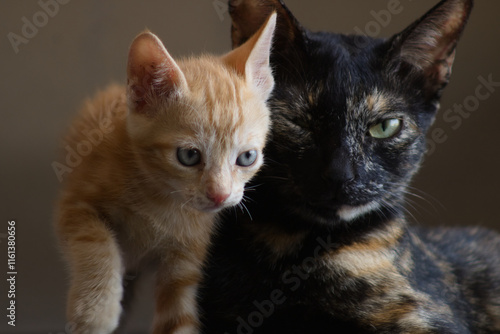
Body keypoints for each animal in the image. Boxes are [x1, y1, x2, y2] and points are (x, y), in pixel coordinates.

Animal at [57, 13, 280, 334]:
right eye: (189, 156)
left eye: (247, 158)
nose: (220, 195)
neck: (161, 199)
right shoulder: (76, 200)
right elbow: (95, 241)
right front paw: (96, 311)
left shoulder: (185, 260)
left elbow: (178, 317)